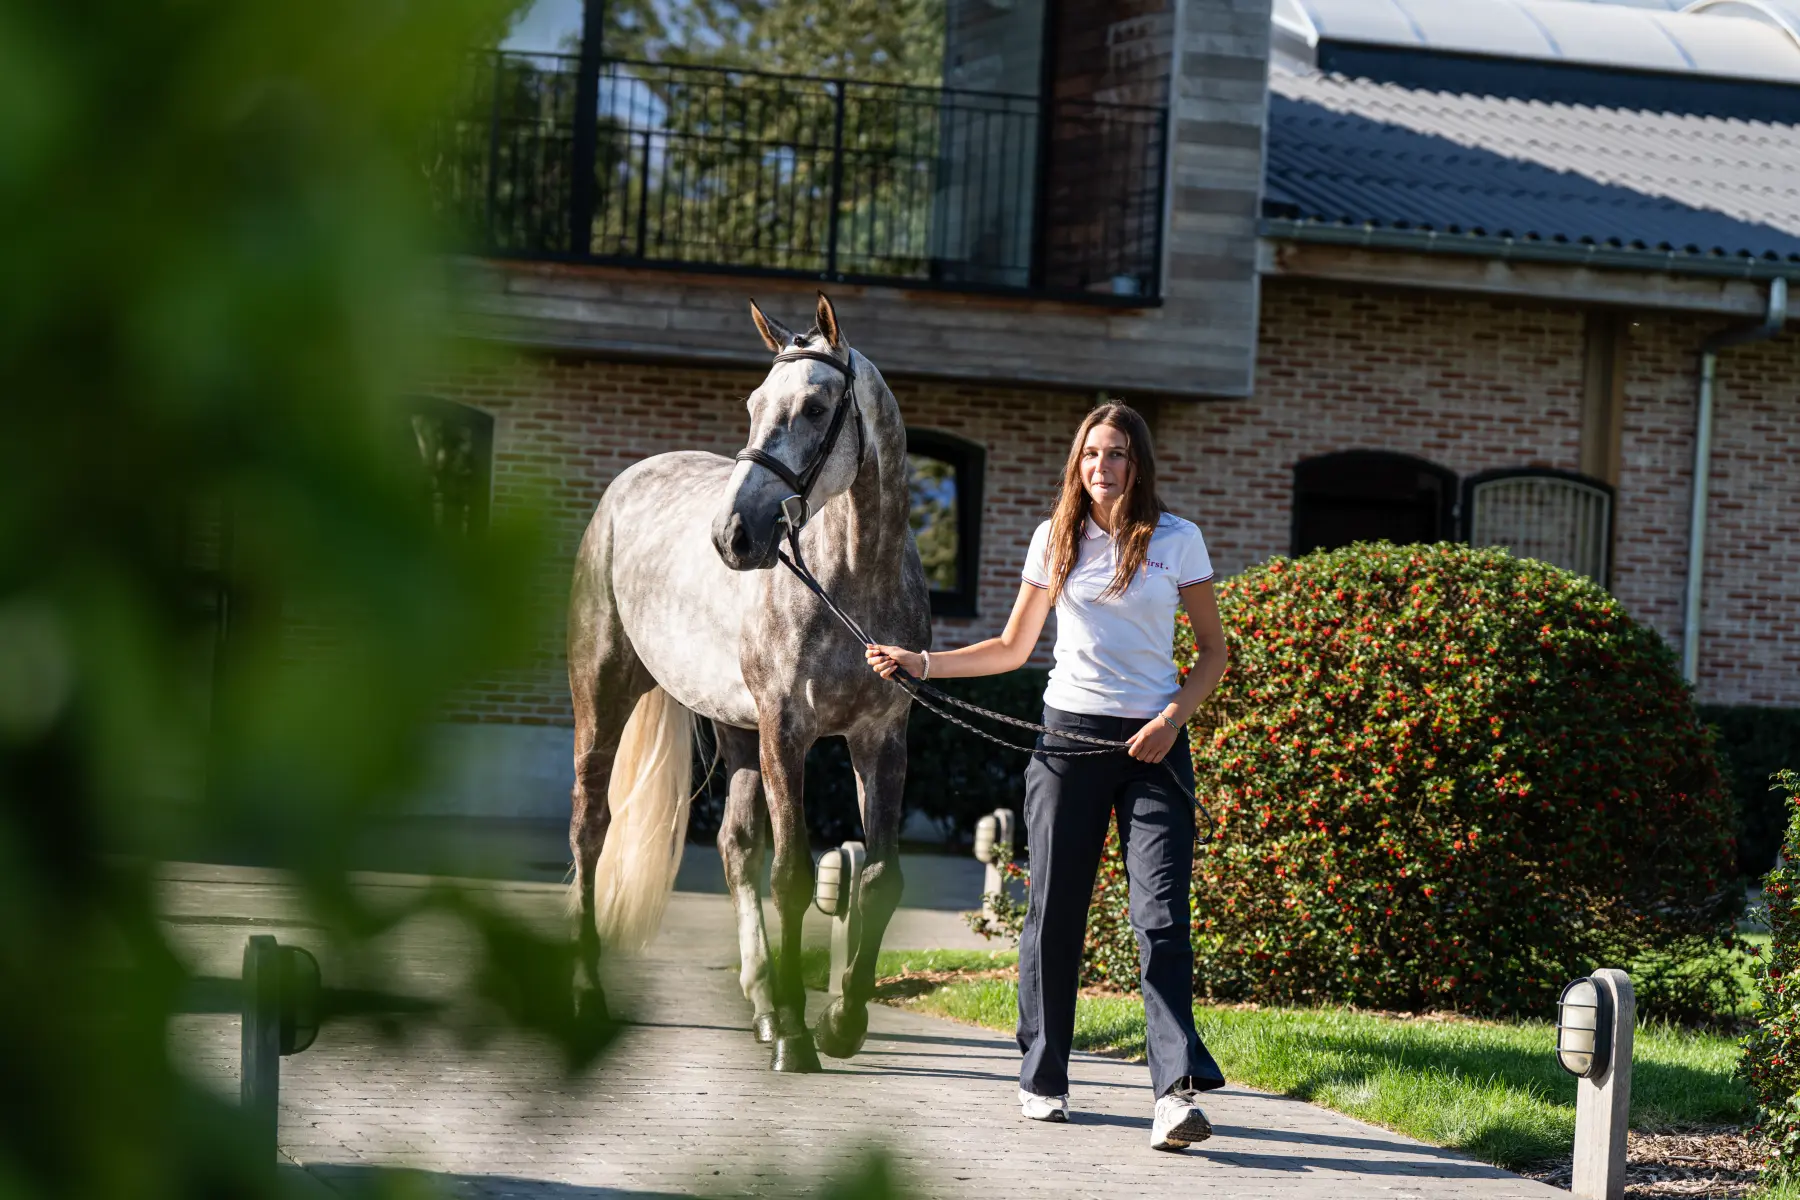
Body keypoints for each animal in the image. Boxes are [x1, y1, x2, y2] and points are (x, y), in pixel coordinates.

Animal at [565, 293, 931, 1070]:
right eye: (754, 404)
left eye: (817, 408)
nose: (733, 534)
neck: (851, 580)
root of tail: (623, 487)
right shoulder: (785, 731)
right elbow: (791, 873)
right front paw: (798, 1036)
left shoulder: (881, 738)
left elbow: (881, 878)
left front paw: (841, 1020)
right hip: (602, 698)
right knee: (590, 831)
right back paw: (587, 992)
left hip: (734, 726)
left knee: (736, 848)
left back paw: (762, 1001)